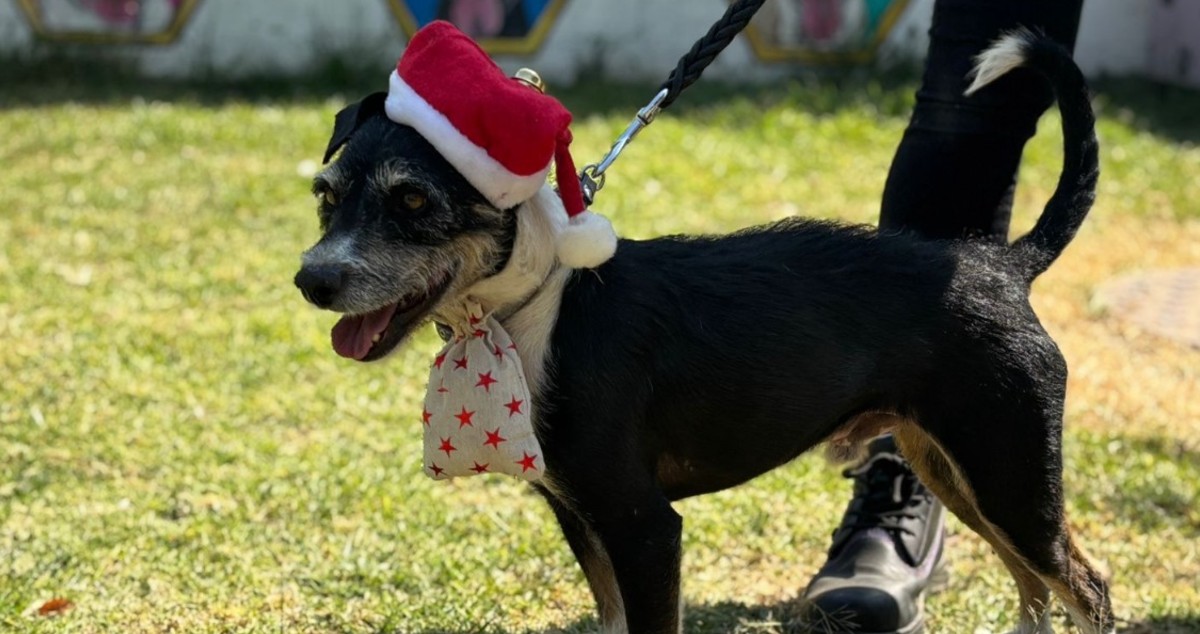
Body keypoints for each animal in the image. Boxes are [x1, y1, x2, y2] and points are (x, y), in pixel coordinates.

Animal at [297, 32, 1113, 634]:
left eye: (413, 200)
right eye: (324, 197)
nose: (313, 281)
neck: (536, 306)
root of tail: (1001, 264)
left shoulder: (645, 526)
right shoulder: (581, 519)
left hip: (1010, 475)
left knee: (1087, 586)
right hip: (955, 469)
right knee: (1035, 584)